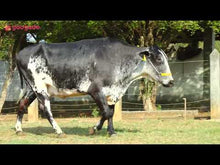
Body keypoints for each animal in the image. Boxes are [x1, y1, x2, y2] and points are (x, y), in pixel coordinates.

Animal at [14, 37, 174, 137]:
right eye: (158, 59)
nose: (171, 81)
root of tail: (20, 52)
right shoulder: (95, 90)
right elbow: (106, 112)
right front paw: (96, 129)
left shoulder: (112, 93)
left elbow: (110, 112)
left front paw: (109, 131)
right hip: (39, 87)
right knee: (46, 109)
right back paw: (59, 131)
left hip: (32, 89)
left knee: (22, 104)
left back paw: (19, 130)